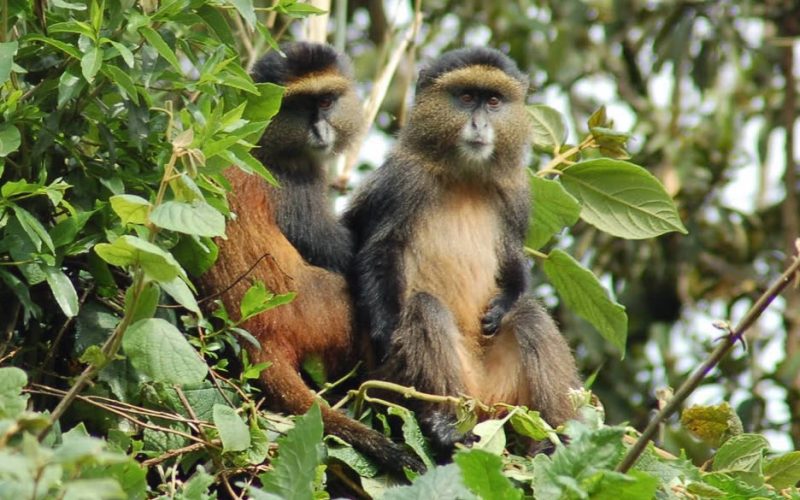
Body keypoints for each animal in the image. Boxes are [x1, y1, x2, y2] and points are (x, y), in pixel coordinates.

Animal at [200, 42, 424, 474]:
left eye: (325, 100)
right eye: (302, 104)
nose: (320, 130)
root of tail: (261, 334)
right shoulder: (296, 184)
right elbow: (345, 255)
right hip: (326, 315)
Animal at [344, 47, 581, 453]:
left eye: (494, 101)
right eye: (467, 97)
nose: (479, 125)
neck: (464, 176)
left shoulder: (516, 196)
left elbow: (512, 261)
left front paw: (503, 303)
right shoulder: (401, 182)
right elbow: (379, 250)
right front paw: (384, 334)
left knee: (530, 315)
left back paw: (555, 437)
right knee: (424, 308)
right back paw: (444, 426)